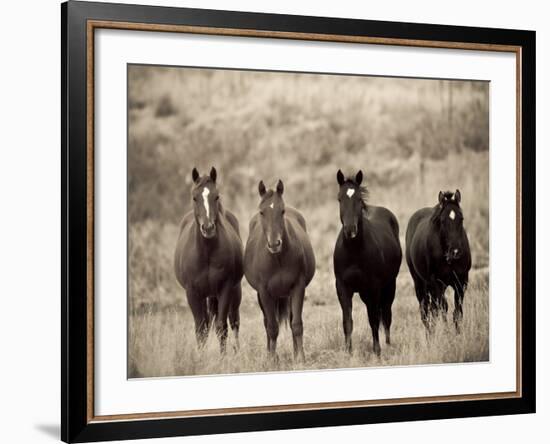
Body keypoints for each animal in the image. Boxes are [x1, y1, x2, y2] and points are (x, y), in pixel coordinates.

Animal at [175, 168, 244, 352]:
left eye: (216, 196)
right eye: (194, 197)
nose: (208, 228)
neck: (206, 253)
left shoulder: (225, 289)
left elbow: (221, 327)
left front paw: (223, 356)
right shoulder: (192, 293)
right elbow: (201, 329)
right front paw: (201, 356)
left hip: (234, 291)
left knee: (234, 321)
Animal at [245, 180, 316, 360]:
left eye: (282, 211)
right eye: (262, 212)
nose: (274, 244)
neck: (277, 259)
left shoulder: (298, 287)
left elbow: (296, 324)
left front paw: (300, 358)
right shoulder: (264, 292)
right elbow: (272, 327)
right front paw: (271, 359)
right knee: (267, 323)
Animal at [334, 168, 404, 356]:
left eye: (359, 199)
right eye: (339, 198)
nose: (350, 230)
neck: (354, 252)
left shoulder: (373, 287)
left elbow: (374, 320)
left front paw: (377, 350)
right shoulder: (343, 288)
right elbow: (347, 321)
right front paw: (348, 351)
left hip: (389, 286)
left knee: (385, 315)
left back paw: (387, 344)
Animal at [406, 189, 474, 332]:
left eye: (461, 218)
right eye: (442, 221)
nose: (455, 251)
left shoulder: (461, 281)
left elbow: (457, 312)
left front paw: (458, 334)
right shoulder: (436, 283)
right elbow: (443, 308)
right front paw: (447, 333)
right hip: (419, 283)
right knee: (425, 312)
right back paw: (430, 334)